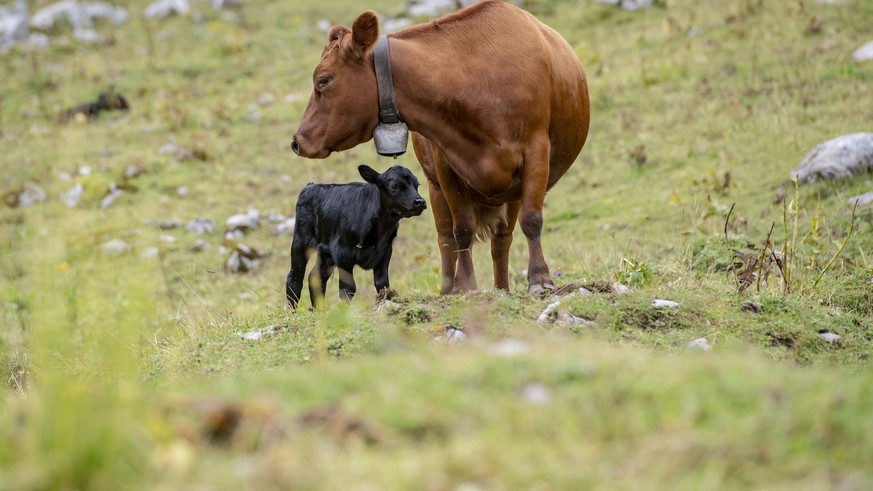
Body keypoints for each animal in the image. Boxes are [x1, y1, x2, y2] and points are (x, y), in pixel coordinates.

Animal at [286, 167, 426, 310]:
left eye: (417, 185)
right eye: (394, 186)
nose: (420, 202)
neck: (381, 230)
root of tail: (310, 187)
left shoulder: (385, 251)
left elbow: (382, 283)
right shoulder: (343, 253)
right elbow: (348, 288)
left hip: (326, 253)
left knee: (316, 277)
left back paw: (319, 312)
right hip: (300, 242)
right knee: (294, 278)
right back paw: (292, 312)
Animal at [290, 0, 588, 296]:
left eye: (323, 79)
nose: (297, 140)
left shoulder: (536, 151)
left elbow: (532, 219)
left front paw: (540, 278)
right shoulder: (446, 165)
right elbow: (462, 230)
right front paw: (464, 285)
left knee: (501, 239)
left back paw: (502, 289)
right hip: (435, 189)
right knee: (446, 238)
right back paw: (448, 290)